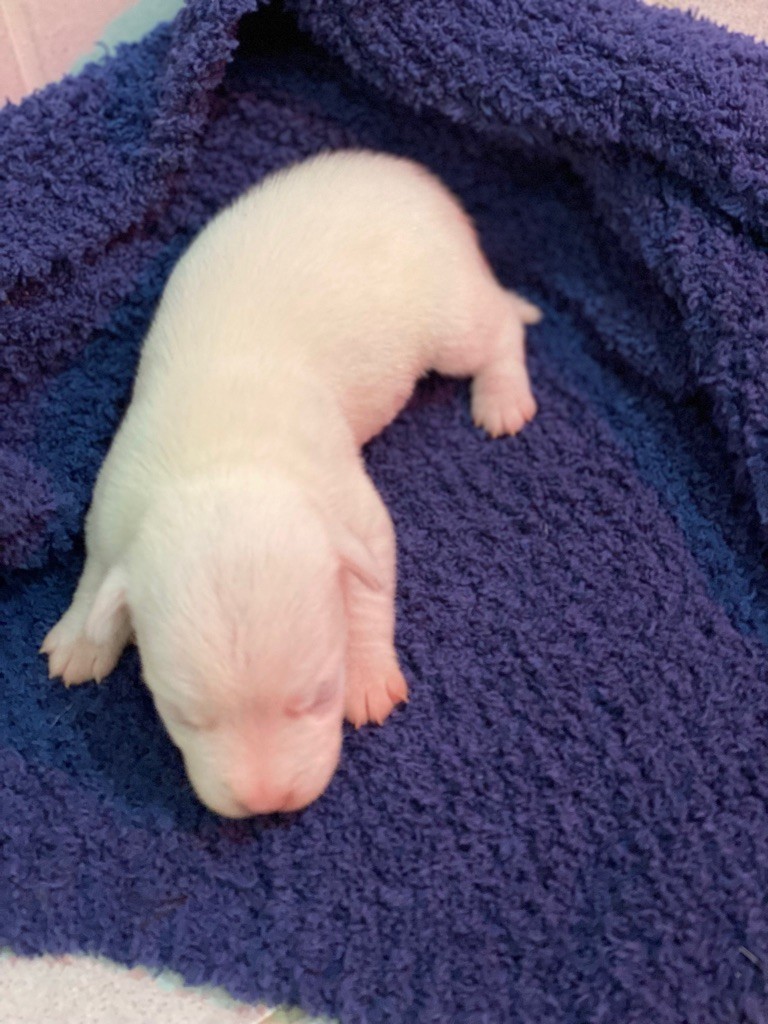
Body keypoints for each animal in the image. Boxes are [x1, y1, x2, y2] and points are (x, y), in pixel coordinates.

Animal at [41, 150, 541, 817]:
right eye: (185, 716)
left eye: (320, 694)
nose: (266, 802)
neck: (223, 462)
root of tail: (409, 175)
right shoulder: (115, 498)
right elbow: (99, 568)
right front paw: (83, 635)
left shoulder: (350, 508)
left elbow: (371, 585)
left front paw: (368, 674)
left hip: (450, 312)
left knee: (499, 329)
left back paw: (503, 395)